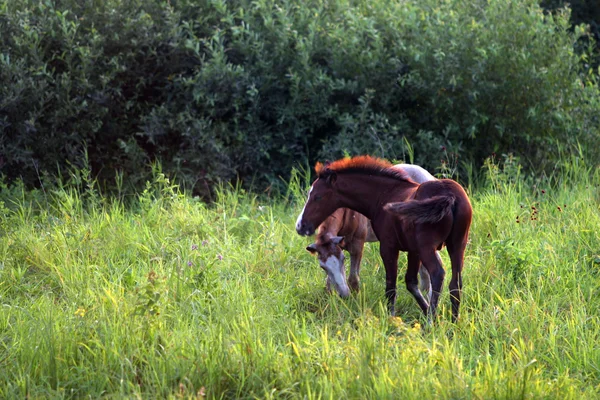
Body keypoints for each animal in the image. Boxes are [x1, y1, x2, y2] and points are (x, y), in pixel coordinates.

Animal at [304, 162, 440, 300]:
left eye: (343, 259)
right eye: (322, 266)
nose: (344, 295)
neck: (347, 211)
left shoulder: (358, 244)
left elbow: (353, 279)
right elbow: (329, 281)